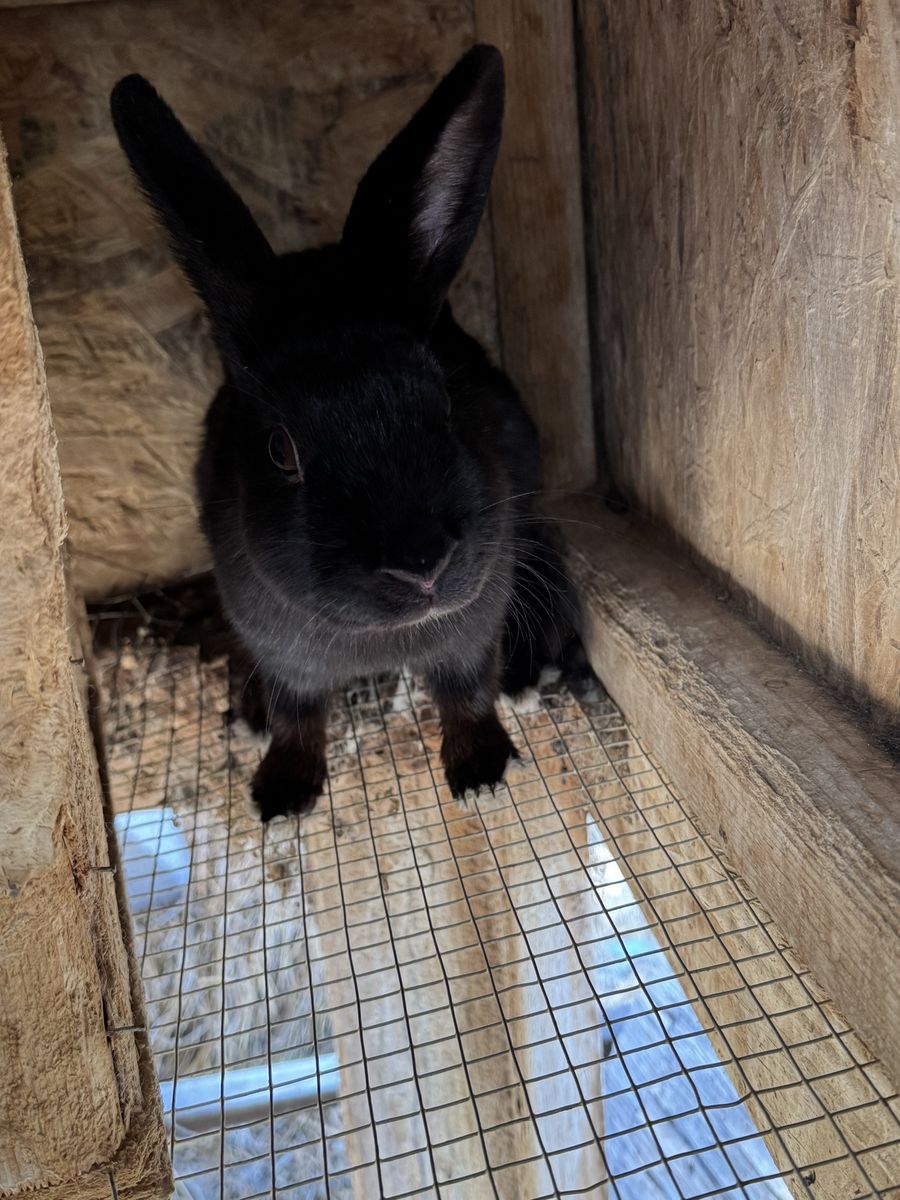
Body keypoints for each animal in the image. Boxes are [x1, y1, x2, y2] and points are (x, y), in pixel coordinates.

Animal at [110, 45, 601, 821]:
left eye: (445, 400)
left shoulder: (470, 631)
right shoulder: (285, 657)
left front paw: (481, 773)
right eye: (281, 450)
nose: (422, 565)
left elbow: (465, 694)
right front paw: (281, 795)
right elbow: (298, 718)